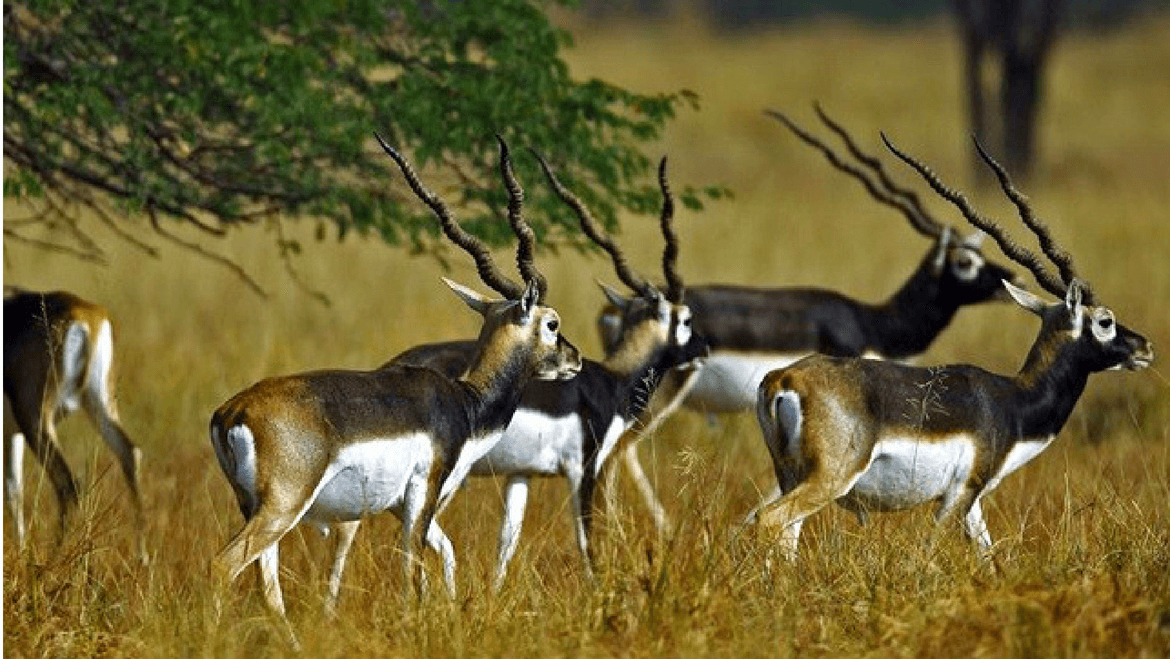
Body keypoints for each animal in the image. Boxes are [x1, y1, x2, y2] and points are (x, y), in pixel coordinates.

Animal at [3, 286, 145, 559]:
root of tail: (85, 316)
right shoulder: (10, 434)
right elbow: (13, 489)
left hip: (36, 419)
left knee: (68, 485)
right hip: (100, 404)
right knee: (130, 453)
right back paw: (144, 559)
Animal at [208, 134, 582, 646]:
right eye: (552, 323)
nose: (576, 359)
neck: (466, 404)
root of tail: (233, 411)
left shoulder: (398, 506)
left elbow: (446, 554)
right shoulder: (423, 494)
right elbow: (412, 574)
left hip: (255, 508)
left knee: (267, 585)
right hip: (283, 507)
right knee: (221, 567)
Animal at [388, 155, 706, 592]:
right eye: (687, 319)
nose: (704, 350)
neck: (613, 381)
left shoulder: (522, 475)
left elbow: (507, 543)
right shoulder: (585, 470)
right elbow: (588, 542)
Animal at [748, 136, 1151, 564]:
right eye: (1105, 321)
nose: (1145, 347)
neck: (1013, 402)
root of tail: (782, 379)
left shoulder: (973, 502)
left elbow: (988, 557)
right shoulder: (957, 495)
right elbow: (929, 552)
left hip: (789, 474)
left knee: (782, 533)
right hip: (830, 478)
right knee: (768, 520)